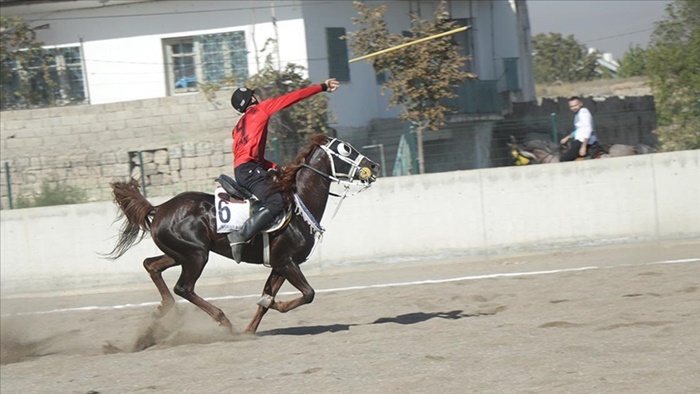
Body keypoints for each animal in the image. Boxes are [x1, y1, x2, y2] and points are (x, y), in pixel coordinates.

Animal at [105, 135, 378, 332]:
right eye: (346, 149)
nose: (372, 165)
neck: (297, 205)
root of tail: (159, 208)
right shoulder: (286, 262)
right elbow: (308, 294)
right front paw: (277, 305)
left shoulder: (279, 265)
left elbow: (266, 299)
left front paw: (251, 327)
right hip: (196, 255)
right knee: (183, 288)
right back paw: (221, 319)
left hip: (179, 253)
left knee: (151, 265)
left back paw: (164, 308)